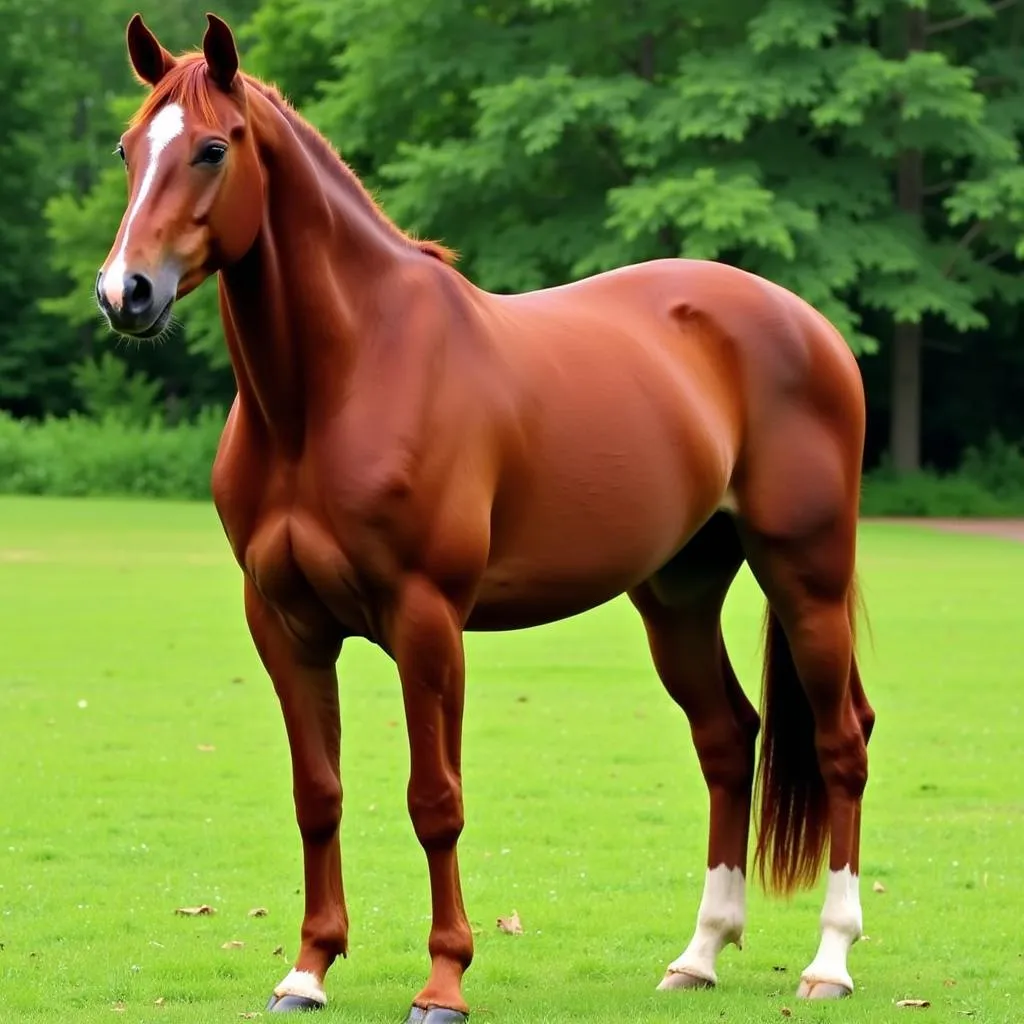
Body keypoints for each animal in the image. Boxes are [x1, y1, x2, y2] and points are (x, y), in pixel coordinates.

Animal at [96, 12, 876, 1019]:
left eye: (213, 148)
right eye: (127, 149)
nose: (126, 293)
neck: (340, 382)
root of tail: (805, 325)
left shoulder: (427, 621)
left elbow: (437, 801)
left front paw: (444, 979)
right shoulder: (286, 625)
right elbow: (318, 793)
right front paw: (308, 970)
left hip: (804, 576)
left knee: (840, 742)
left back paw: (830, 959)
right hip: (679, 596)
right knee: (726, 739)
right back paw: (699, 954)